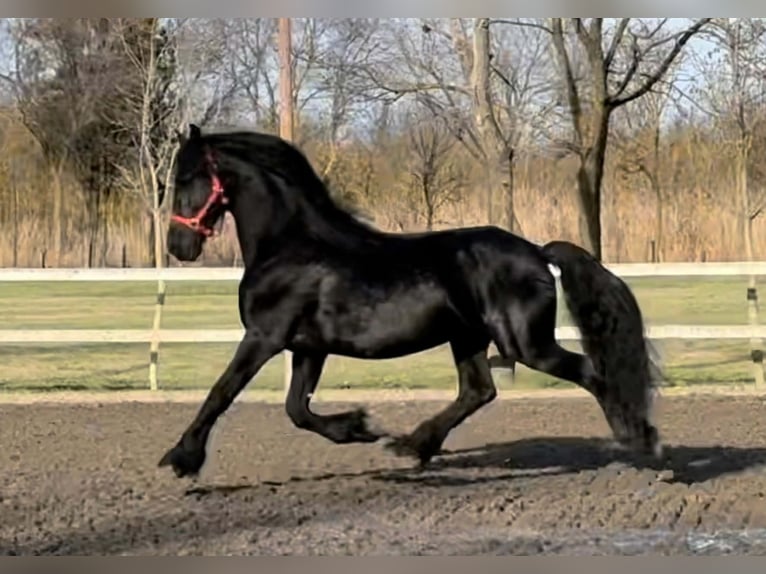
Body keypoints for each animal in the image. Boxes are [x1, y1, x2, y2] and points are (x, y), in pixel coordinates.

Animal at [158, 123, 663, 479]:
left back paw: (641, 445)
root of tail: (537, 252)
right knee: (478, 390)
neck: (289, 246)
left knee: (589, 372)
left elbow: (222, 392)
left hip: (526, 344)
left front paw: (180, 458)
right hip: (469, 338)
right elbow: (297, 409)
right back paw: (410, 446)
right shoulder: (308, 347)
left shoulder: (264, 337)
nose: (179, 246)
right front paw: (360, 427)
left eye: (187, 177)